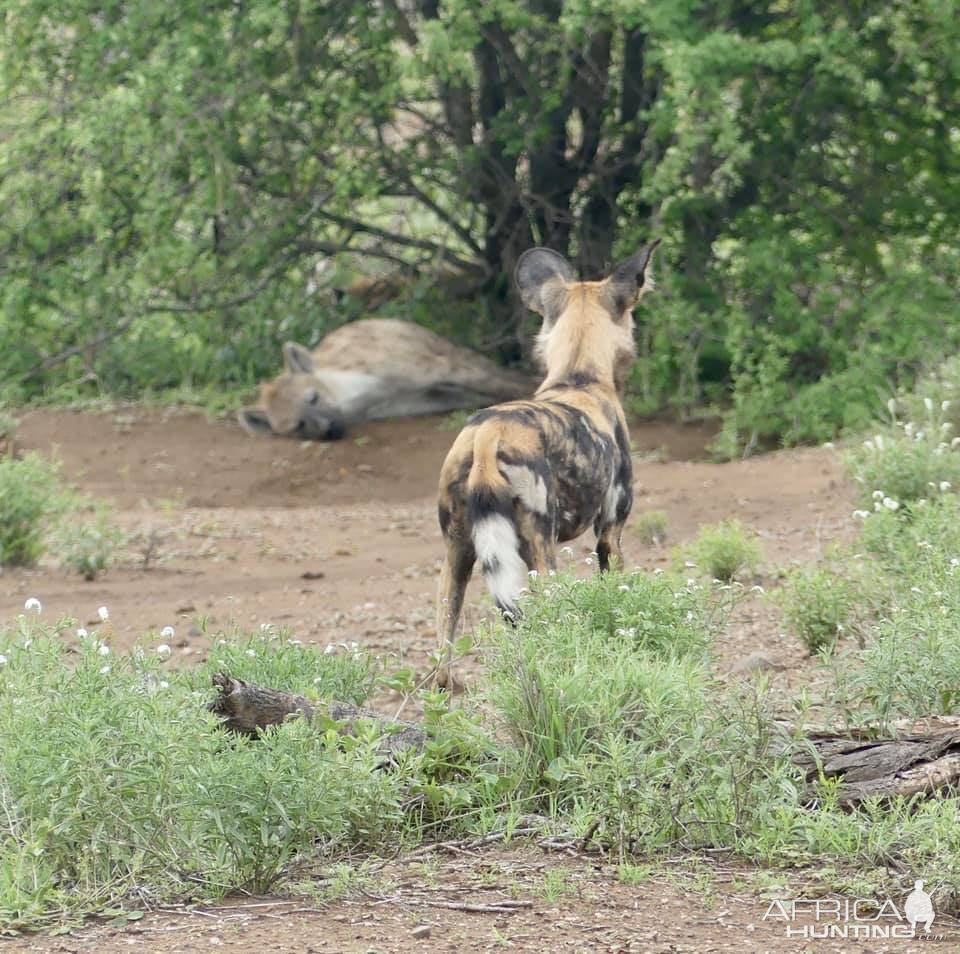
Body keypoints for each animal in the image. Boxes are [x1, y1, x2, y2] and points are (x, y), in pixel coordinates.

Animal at [238, 318, 532, 440]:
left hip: (443, 352)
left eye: (313, 397)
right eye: (298, 425)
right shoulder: (421, 400)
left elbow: (500, 382)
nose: (329, 428)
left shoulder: (429, 368)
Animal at [436, 242, 660, 680]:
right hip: (541, 550)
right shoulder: (610, 533)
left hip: (457, 555)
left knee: (442, 654)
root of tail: (488, 434)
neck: (578, 377)